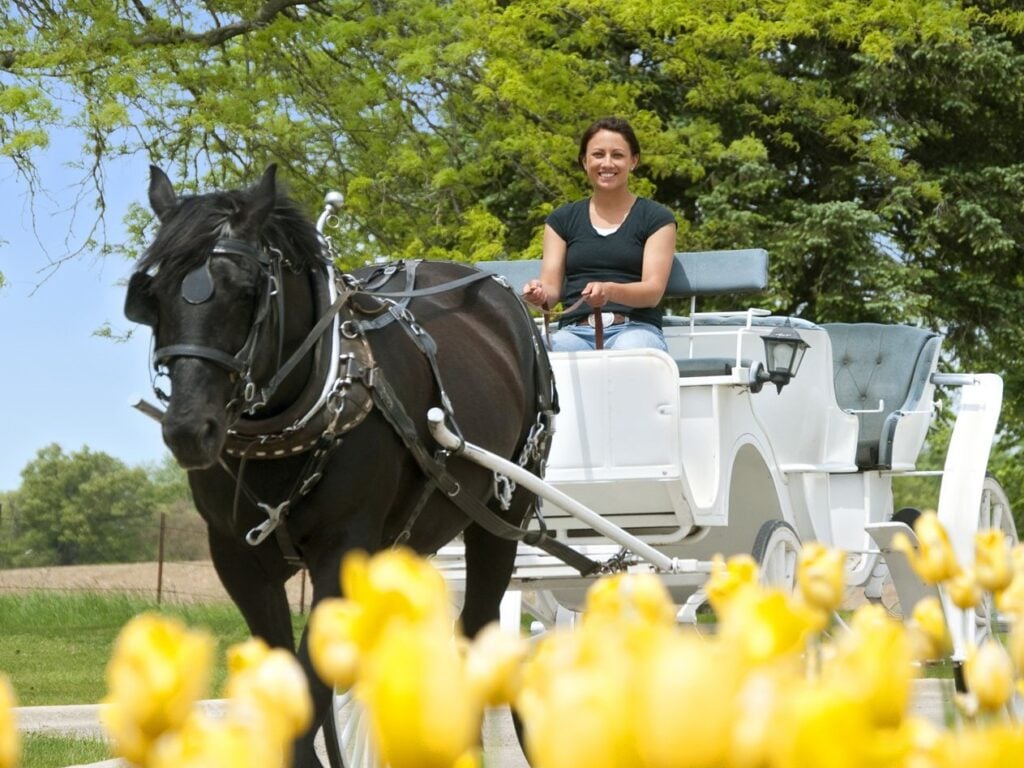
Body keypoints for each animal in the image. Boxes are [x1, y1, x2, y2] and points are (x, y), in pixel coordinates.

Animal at [123, 165, 557, 765]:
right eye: (154, 294)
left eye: (247, 291)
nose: (189, 429)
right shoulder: (236, 559)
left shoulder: (343, 547)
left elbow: (307, 696)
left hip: (502, 511)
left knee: (477, 630)